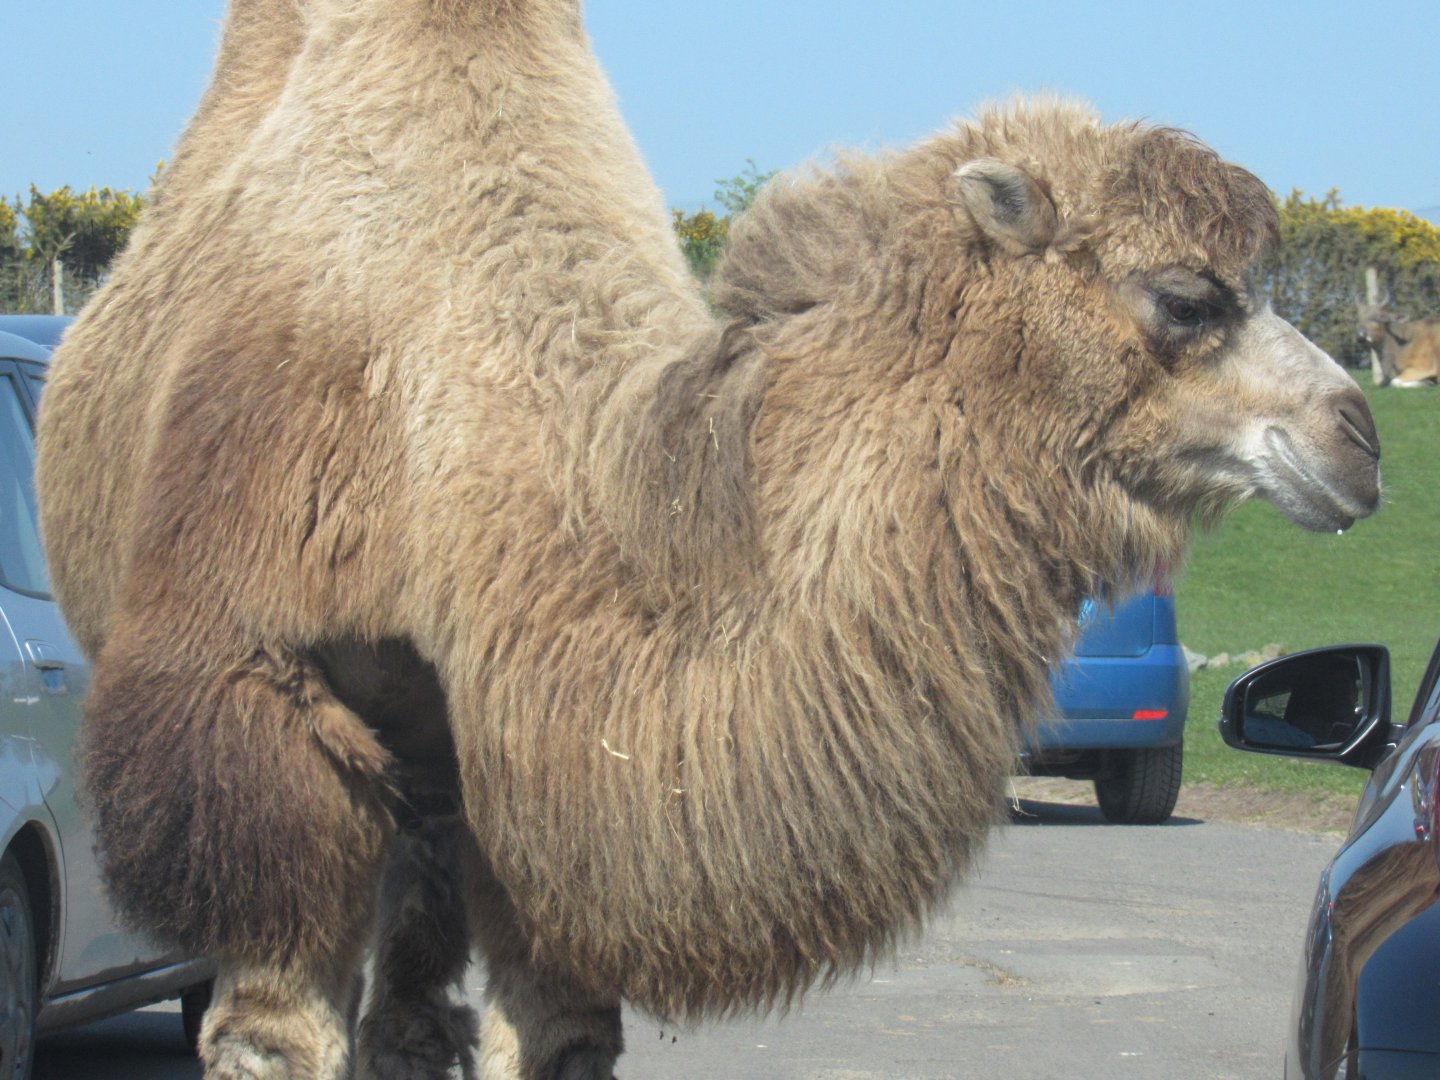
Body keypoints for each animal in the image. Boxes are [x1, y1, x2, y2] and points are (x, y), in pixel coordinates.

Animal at [35, 2, 1381, 1077]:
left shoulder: (537, 770)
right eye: (1189, 298)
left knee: (411, 1005)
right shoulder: (246, 688)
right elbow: (269, 1035)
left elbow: (559, 1033)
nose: (1359, 439)